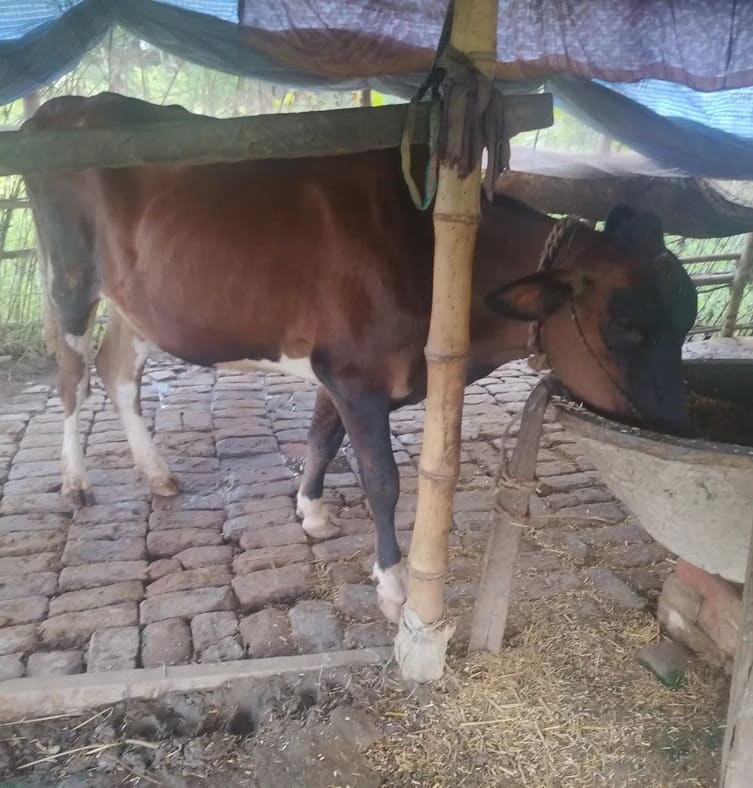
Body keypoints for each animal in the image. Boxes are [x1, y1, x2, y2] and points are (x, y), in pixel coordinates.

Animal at [23, 93, 697, 621]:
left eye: (686, 318)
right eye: (628, 327)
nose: (676, 423)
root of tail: (64, 107)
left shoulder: (338, 373)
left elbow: (322, 438)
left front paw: (313, 512)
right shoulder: (357, 376)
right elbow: (382, 479)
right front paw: (394, 584)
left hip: (135, 301)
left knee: (117, 371)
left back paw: (157, 473)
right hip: (70, 276)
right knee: (73, 378)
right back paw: (76, 482)